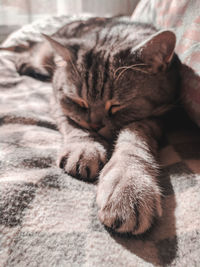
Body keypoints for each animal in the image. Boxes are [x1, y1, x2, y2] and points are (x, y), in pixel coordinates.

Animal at [12, 17, 181, 234]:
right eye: (80, 102)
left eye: (116, 105)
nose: (95, 124)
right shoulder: (59, 103)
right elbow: (75, 126)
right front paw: (85, 148)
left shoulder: (160, 116)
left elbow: (134, 141)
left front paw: (128, 182)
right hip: (45, 52)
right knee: (33, 51)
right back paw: (26, 63)